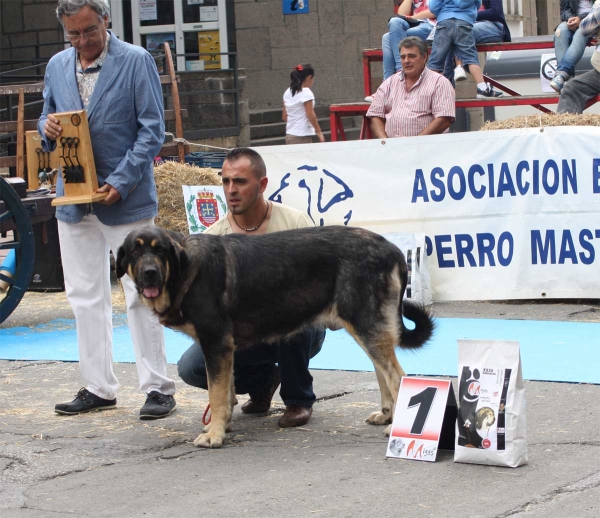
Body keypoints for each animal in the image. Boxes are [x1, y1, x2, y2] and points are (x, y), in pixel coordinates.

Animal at [117, 225, 434, 448]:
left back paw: (396, 427)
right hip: (366, 328)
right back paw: (387, 415)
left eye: (160, 251)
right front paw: (223, 426)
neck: (183, 269)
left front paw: (215, 435)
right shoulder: (224, 349)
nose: (149, 273)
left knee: (396, 376)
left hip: (365, 325)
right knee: (383, 373)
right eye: (135, 252)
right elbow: (227, 392)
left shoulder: (216, 343)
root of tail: (393, 249)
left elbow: (216, 395)